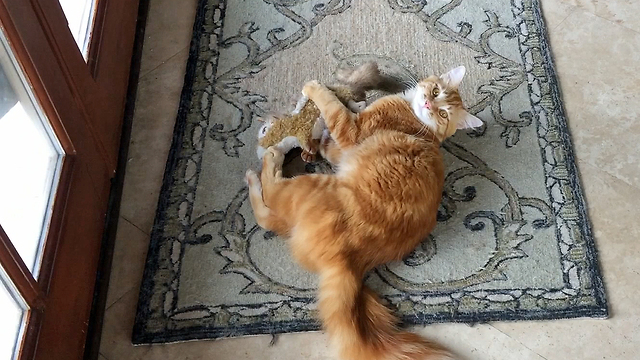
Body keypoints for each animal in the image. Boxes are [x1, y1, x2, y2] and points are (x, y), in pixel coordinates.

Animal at [244, 63, 480, 358]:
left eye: (443, 113)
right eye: (436, 92)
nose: (428, 103)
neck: (419, 123)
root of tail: (350, 260)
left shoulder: (352, 130)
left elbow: (331, 107)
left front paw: (315, 91)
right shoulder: (341, 149)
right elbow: (328, 142)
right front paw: (319, 137)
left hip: (312, 185)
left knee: (270, 202)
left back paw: (268, 162)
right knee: (269, 217)